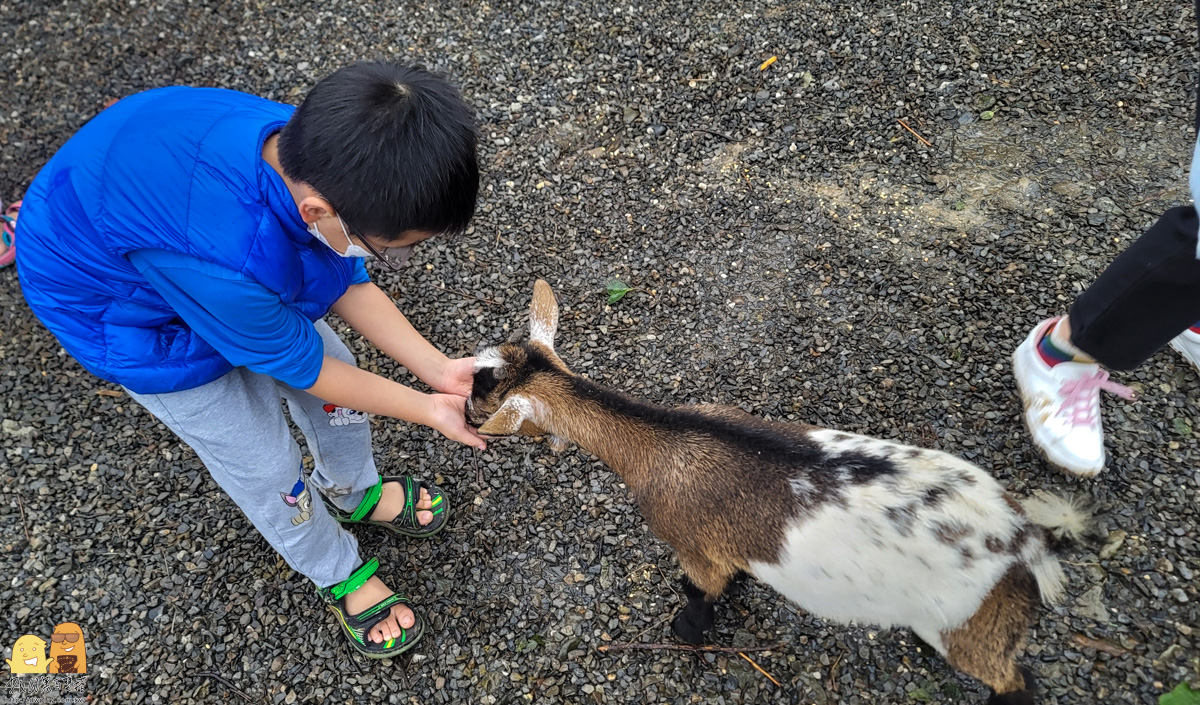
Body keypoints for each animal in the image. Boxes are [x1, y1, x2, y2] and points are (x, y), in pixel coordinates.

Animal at [468, 280, 1099, 705]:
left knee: (1015, 679)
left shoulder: (691, 541)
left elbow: (701, 591)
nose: (467, 414)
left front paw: (686, 632)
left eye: (483, 398)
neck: (657, 440)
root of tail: (1025, 542)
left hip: (976, 624)